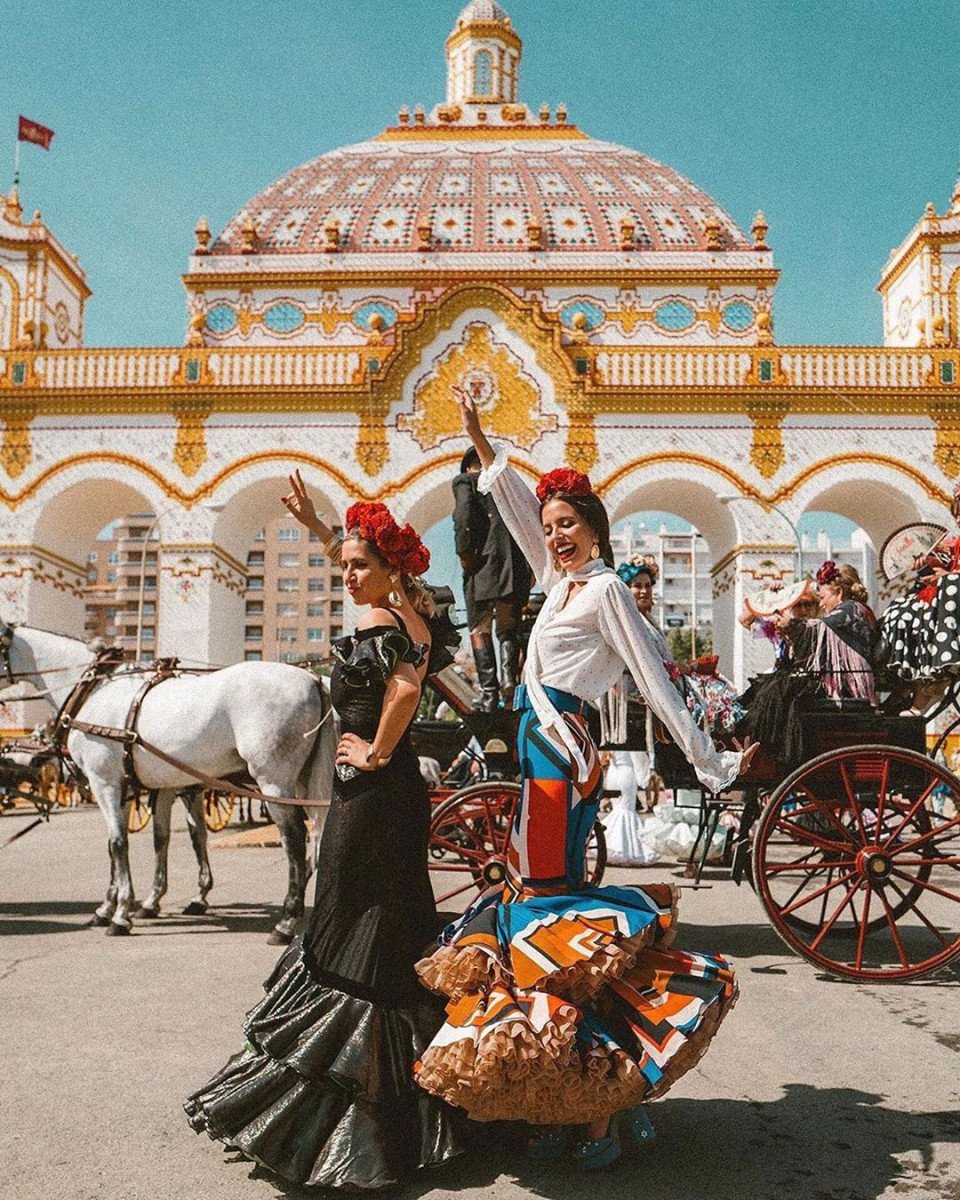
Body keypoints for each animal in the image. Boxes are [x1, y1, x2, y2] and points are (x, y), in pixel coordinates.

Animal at [0, 624, 338, 940]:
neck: (96, 690)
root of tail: (313, 679)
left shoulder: (105, 783)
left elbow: (118, 843)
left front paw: (120, 914)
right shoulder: (135, 786)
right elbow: (150, 840)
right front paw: (118, 906)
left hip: (273, 781)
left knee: (294, 840)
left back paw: (286, 921)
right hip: (303, 781)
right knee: (315, 835)